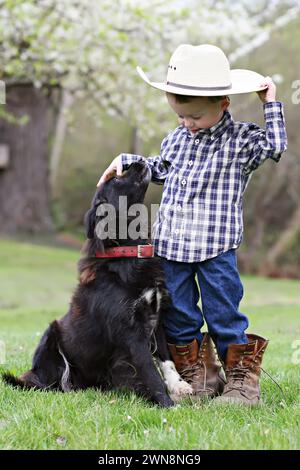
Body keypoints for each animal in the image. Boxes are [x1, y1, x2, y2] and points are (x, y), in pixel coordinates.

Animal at [3, 162, 191, 408]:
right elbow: (150, 370)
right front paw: (167, 404)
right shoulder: (131, 333)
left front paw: (178, 386)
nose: (138, 161)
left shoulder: (155, 316)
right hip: (50, 337)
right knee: (54, 382)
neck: (128, 254)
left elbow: (166, 358)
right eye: (116, 180)